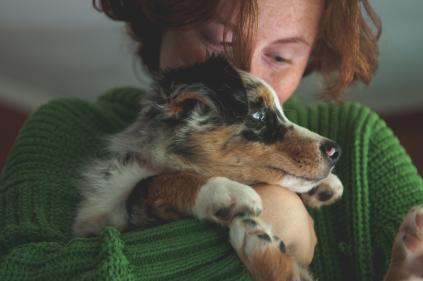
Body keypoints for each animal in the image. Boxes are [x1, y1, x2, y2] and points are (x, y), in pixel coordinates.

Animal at [73, 55, 344, 278]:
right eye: (258, 116)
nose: (335, 151)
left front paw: (325, 184)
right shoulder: (105, 217)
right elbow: (155, 182)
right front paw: (223, 191)